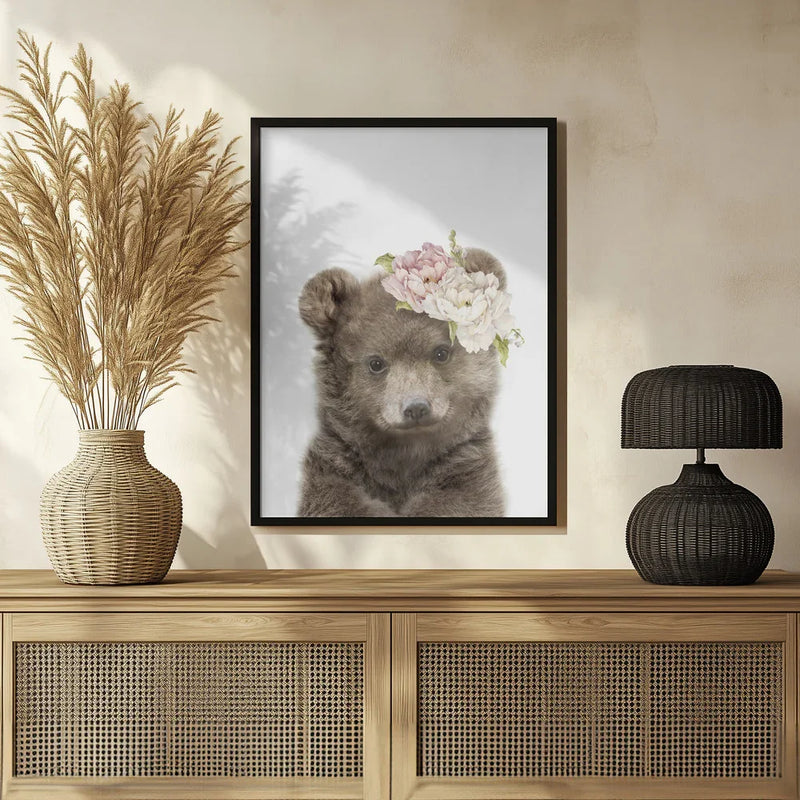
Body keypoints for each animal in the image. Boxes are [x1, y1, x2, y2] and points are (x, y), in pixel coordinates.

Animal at [296, 248, 507, 518]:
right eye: (376, 363)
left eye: (441, 352)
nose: (416, 407)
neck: (404, 456)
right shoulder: (335, 467)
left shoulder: (466, 471)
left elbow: (460, 503)